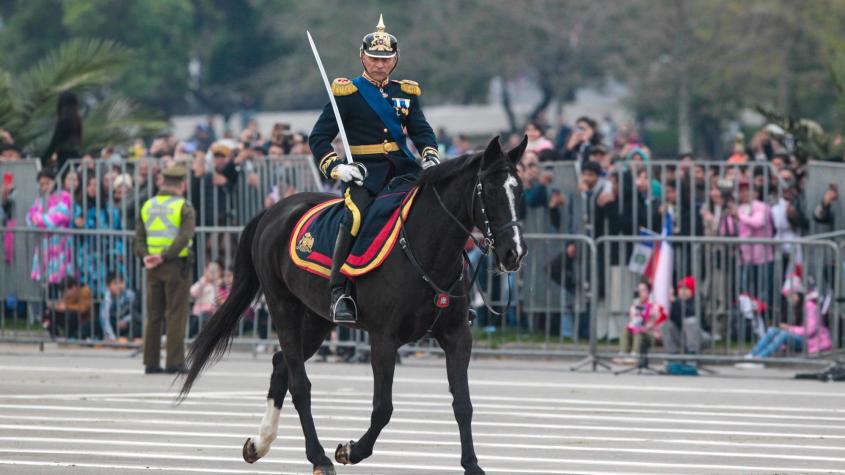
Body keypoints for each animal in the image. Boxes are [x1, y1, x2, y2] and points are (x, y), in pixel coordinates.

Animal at [180, 137, 528, 475]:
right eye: (491, 190)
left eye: (519, 190)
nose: (515, 253)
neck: (426, 249)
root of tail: (274, 211)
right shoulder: (384, 339)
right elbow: (383, 408)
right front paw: (351, 451)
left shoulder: (457, 336)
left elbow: (463, 404)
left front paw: (472, 465)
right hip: (283, 307)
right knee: (299, 383)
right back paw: (318, 457)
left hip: (317, 319)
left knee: (281, 365)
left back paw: (259, 443)